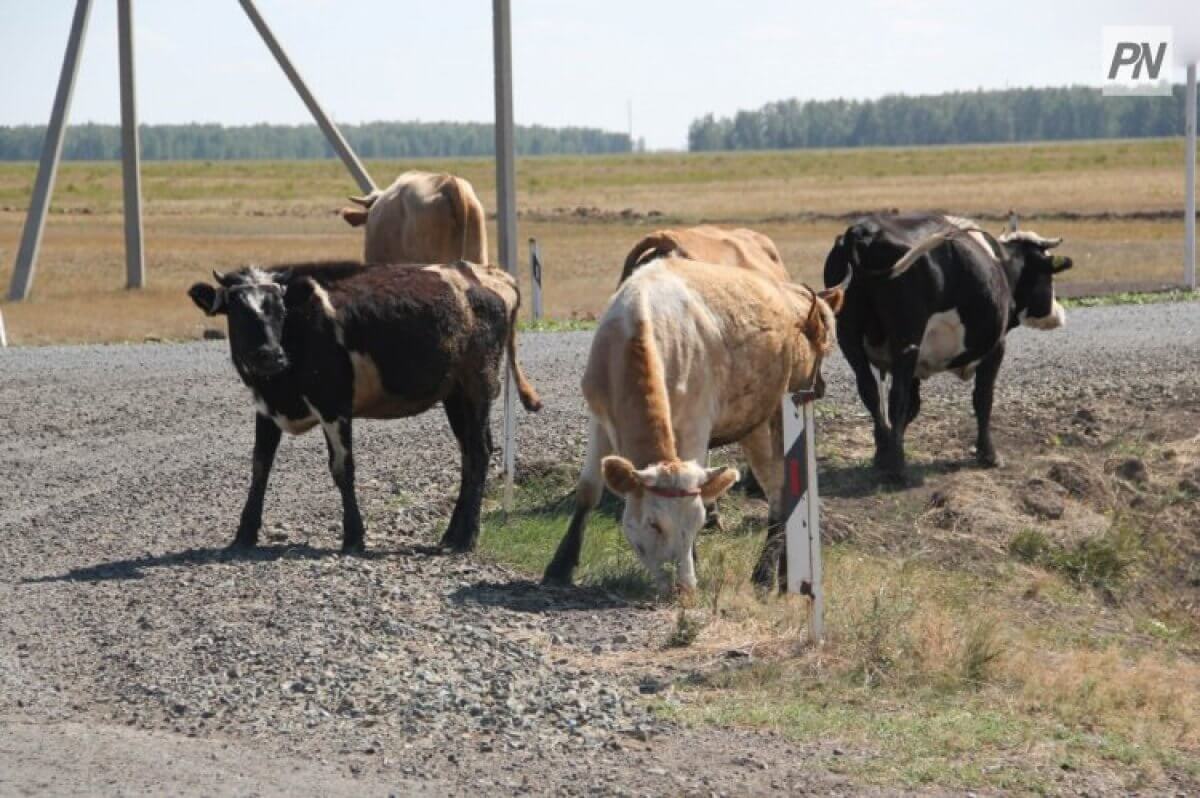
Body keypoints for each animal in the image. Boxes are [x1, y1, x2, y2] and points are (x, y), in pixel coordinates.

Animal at [188, 261, 544, 554]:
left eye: (279, 309)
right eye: (237, 311)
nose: (270, 355)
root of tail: (487, 272)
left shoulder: (334, 407)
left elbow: (342, 469)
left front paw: (353, 536)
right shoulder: (266, 409)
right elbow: (260, 467)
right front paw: (244, 535)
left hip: (478, 384)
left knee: (480, 452)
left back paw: (467, 537)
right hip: (454, 395)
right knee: (470, 454)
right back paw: (452, 534)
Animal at [544, 255, 844, 590]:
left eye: (698, 521)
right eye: (653, 524)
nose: (682, 585)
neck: (636, 327)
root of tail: (799, 296)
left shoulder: (695, 425)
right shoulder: (598, 417)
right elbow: (588, 490)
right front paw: (559, 566)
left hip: (787, 413)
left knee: (784, 488)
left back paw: (767, 573)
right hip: (754, 425)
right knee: (775, 485)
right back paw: (780, 572)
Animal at [825, 211, 1070, 475]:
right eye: (1048, 276)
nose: (1059, 313)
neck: (1003, 264)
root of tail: (864, 231)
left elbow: (913, 406)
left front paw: (884, 452)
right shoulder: (996, 347)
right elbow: (983, 398)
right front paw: (988, 455)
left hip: (848, 337)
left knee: (870, 391)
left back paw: (886, 455)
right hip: (906, 341)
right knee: (896, 397)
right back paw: (898, 469)